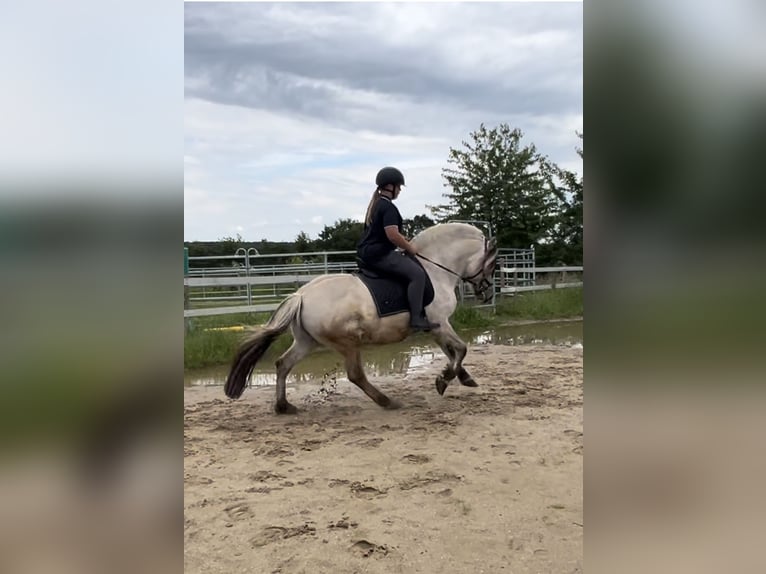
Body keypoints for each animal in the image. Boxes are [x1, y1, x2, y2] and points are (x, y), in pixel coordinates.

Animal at [224, 222, 499, 413]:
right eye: (493, 264)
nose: (486, 293)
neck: (434, 269)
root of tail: (301, 295)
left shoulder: (435, 328)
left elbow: (452, 353)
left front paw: (460, 377)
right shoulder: (441, 323)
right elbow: (461, 349)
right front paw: (445, 380)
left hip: (307, 341)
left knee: (283, 364)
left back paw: (284, 407)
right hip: (347, 342)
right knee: (356, 375)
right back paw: (387, 401)